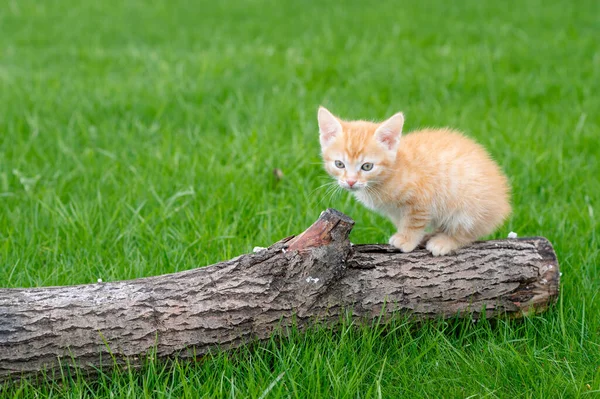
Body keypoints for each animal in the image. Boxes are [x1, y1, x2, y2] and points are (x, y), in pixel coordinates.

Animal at [318, 106, 510, 256]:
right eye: (339, 164)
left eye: (367, 166)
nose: (350, 182)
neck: (391, 172)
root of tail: (504, 204)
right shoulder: (395, 211)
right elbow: (402, 221)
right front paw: (410, 236)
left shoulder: (423, 198)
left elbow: (414, 221)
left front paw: (406, 239)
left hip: (468, 205)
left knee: (468, 231)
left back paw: (443, 241)